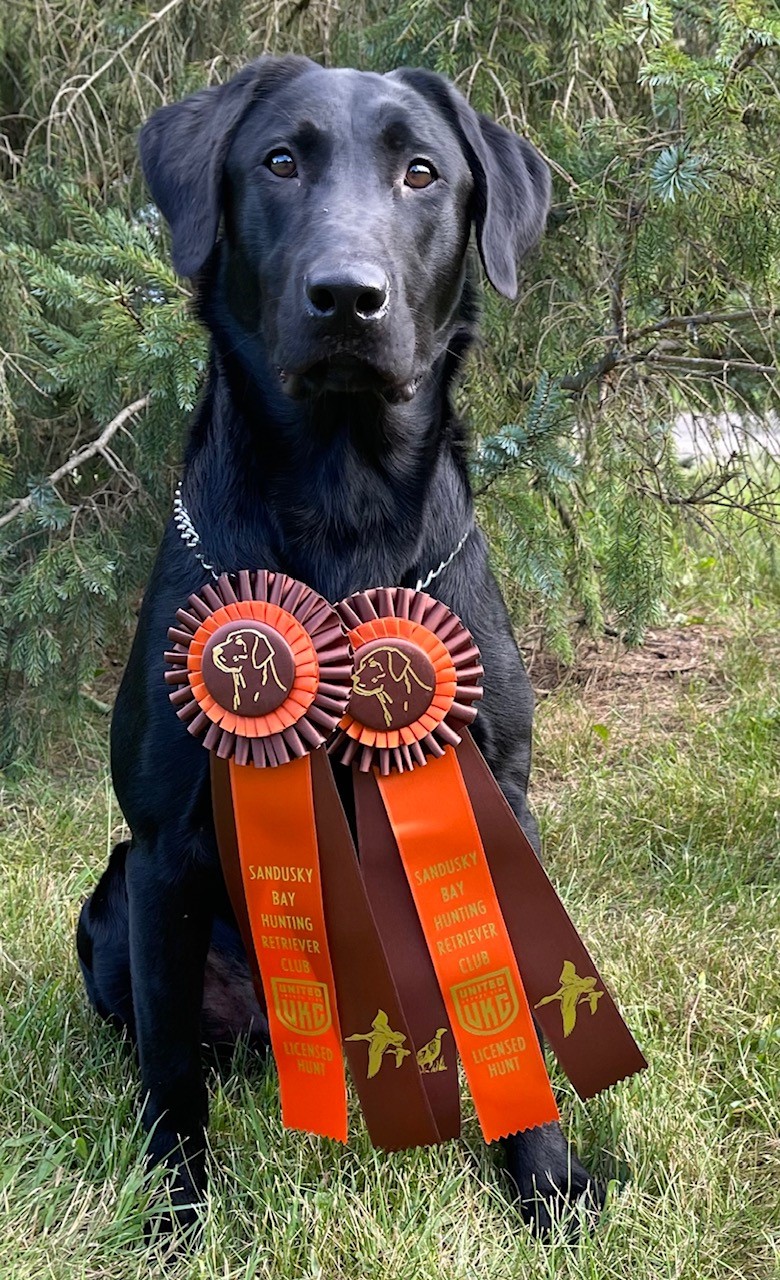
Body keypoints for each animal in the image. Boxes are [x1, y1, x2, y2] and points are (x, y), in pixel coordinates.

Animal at [77, 57, 601, 1228]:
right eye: (279, 161)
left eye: (423, 172)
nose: (347, 297)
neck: (342, 513)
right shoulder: (165, 844)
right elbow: (170, 1069)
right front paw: (175, 1212)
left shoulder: (494, 802)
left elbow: (513, 1004)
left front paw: (544, 1179)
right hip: (114, 900)